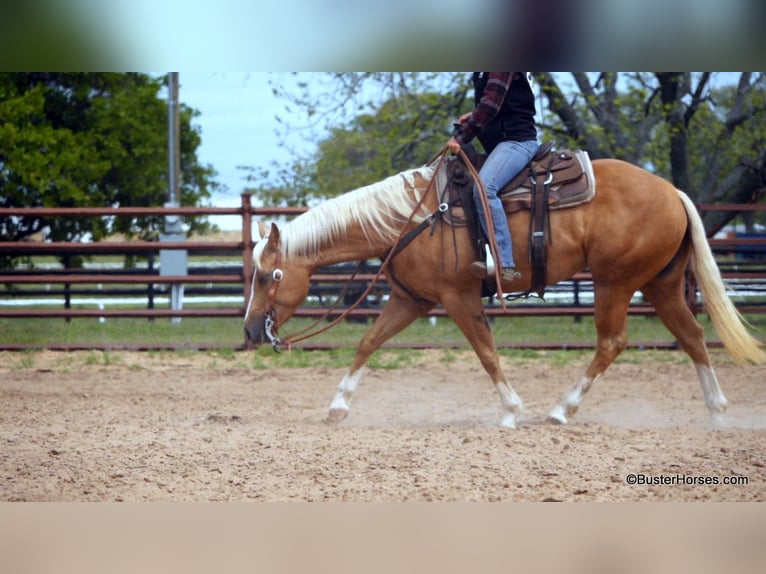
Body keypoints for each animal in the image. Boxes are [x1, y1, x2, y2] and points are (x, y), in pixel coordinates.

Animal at [244, 156, 766, 428]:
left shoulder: (458, 298)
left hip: (614, 282)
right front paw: (338, 406)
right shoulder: (411, 300)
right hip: (661, 283)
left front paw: (513, 411)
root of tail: (671, 191)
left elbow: (486, 352)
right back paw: (717, 412)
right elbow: (368, 343)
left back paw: (561, 410)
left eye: (269, 275)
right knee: (691, 336)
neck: (411, 220)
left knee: (612, 342)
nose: (250, 331)